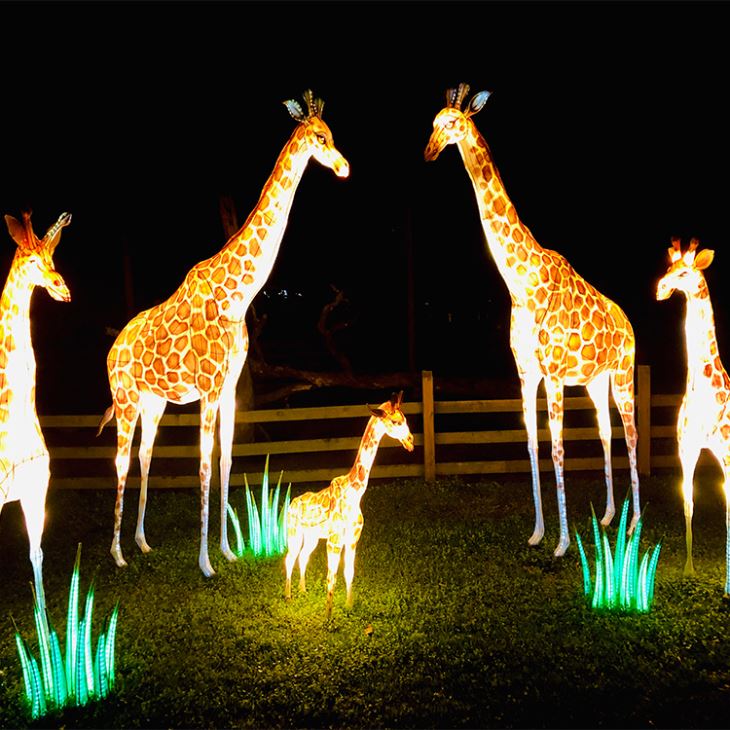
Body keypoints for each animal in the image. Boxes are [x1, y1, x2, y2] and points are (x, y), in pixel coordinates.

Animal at [97, 90, 350, 577]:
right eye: (320, 137)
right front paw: (205, 564)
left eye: (332, 134)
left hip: (154, 402)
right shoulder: (209, 389)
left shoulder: (229, 386)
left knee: (143, 456)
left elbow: (227, 460)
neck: (236, 296)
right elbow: (202, 465)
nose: (344, 166)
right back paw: (116, 553)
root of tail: (113, 348)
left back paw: (141, 542)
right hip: (126, 398)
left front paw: (228, 550)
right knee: (118, 461)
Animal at [284, 391, 414, 617]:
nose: (410, 441)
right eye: (396, 422)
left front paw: (349, 606)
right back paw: (288, 596)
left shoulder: (353, 537)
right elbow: (331, 576)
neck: (356, 493)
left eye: (405, 419)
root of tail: (292, 503)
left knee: (302, 557)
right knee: (289, 558)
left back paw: (302, 590)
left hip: (311, 537)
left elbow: (349, 571)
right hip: (293, 532)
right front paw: (328, 617)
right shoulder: (334, 539)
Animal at [424, 84, 640, 556]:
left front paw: (562, 542)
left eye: (453, 123)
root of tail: (628, 323)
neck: (522, 283)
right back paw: (608, 516)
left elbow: (558, 448)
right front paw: (539, 532)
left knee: (632, 434)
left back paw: (634, 523)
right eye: (432, 123)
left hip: (624, 373)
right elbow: (531, 445)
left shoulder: (554, 374)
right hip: (596, 381)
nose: (429, 150)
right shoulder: (526, 372)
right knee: (607, 433)